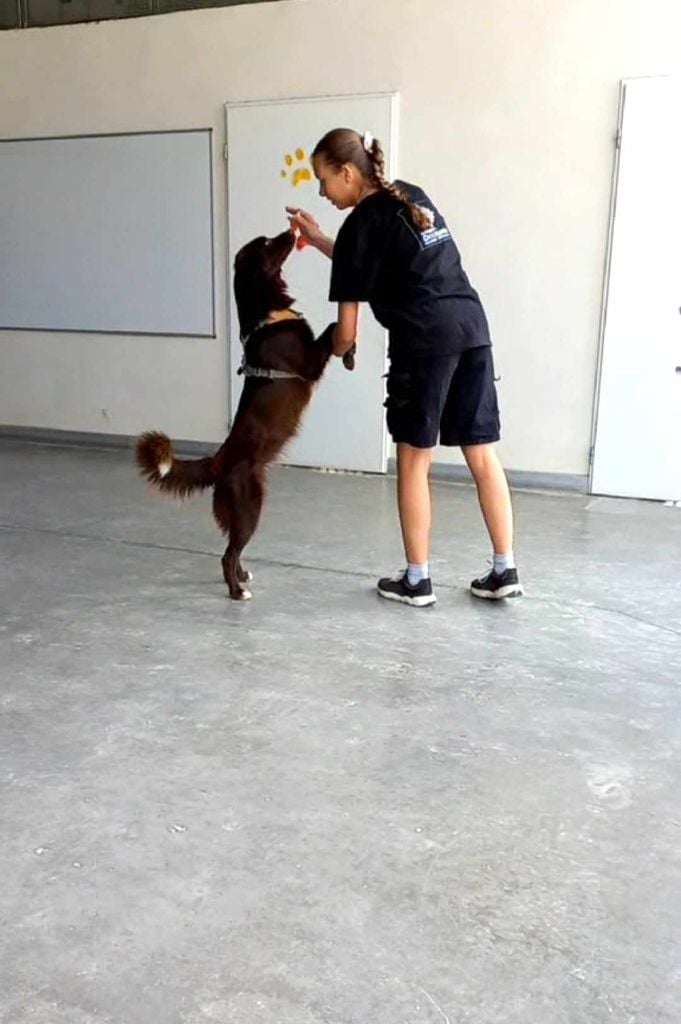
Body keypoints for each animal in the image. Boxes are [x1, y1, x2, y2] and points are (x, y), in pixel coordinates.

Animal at [136, 228, 350, 600]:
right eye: (266, 243)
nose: (292, 229)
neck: (265, 312)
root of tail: (217, 461)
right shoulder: (310, 362)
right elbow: (333, 326)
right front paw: (347, 346)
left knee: (233, 550)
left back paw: (243, 576)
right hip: (250, 505)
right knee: (228, 554)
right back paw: (237, 592)